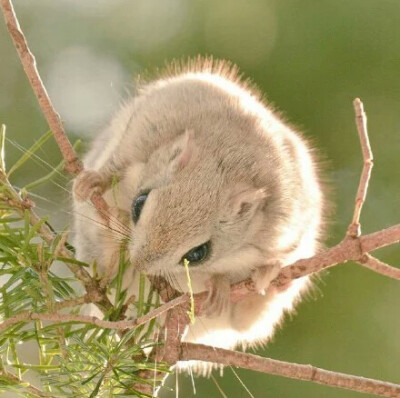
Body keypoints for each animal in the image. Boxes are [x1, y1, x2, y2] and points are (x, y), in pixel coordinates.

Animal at [73, 57, 326, 374]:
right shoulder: (142, 131)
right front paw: (93, 182)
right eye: (139, 204)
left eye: (197, 254)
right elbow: (118, 163)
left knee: (246, 319)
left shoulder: (282, 230)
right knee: (105, 271)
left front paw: (231, 278)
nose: (140, 263)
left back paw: (262, 282)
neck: (227, 161)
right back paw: (112, 235)